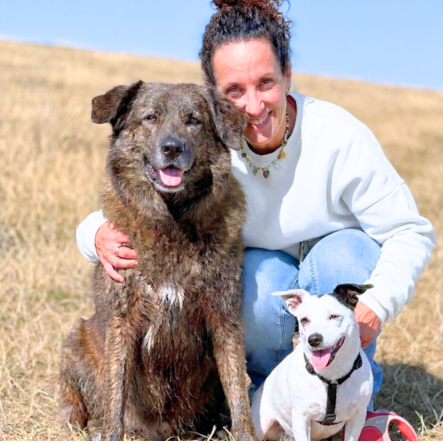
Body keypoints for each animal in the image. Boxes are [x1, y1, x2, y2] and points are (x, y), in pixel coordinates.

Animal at [59, 81, 257, 440]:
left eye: (194, 121)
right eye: (150, 117)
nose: (172, 148)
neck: (172, 221)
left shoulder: (225, 319)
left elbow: (238, 392)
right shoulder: (122, 319)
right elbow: (115, 395)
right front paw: (110, 433)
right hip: (75, 339)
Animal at [251, 284, 374, 441]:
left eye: (334, 316)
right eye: (304, 320)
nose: (314, 339)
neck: (332, 376)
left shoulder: (357, 418)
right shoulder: (301, 418)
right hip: (262, 424)